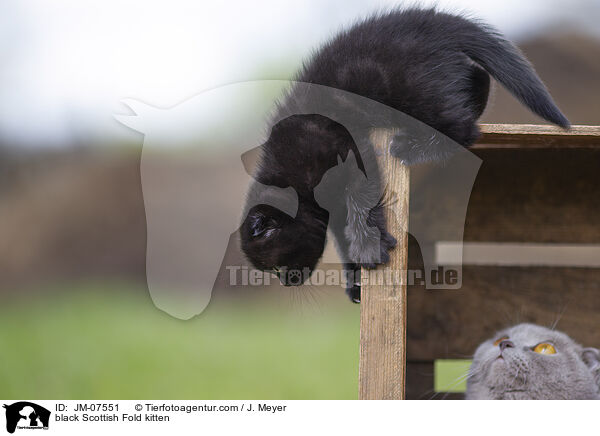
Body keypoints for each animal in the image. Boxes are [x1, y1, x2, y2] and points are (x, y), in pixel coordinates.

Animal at [238, 7, 568, 304]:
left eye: (275, 266)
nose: (287, 281)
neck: (291, 171)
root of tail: (433, 21)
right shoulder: (333, 208)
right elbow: (344, 239)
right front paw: (355, 281)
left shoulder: (347, 152)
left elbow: (361, 200)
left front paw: (370, 248)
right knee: (477, 81)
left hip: (413, 88)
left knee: (461, 127)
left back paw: (409, 146)